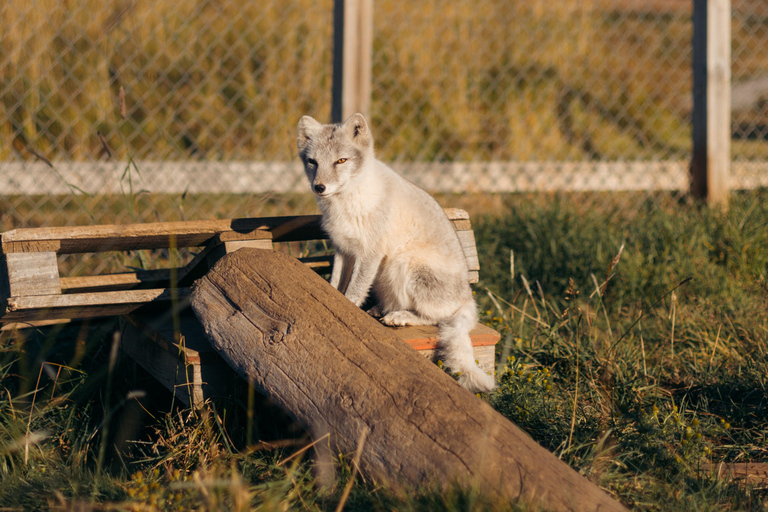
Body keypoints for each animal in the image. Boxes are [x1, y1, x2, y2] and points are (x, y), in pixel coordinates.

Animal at [296, 113, 495, 393]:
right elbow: (335, 286)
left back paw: (400, 317)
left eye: (341, 161)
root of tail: (468, 297)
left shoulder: (370, 253)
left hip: (403, 265)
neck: (347, 201)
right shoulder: (344, 250)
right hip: (384, 276)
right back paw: (381, 309)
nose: (319, 187)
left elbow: (353, 293)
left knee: (435, 317)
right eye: (312, 161)